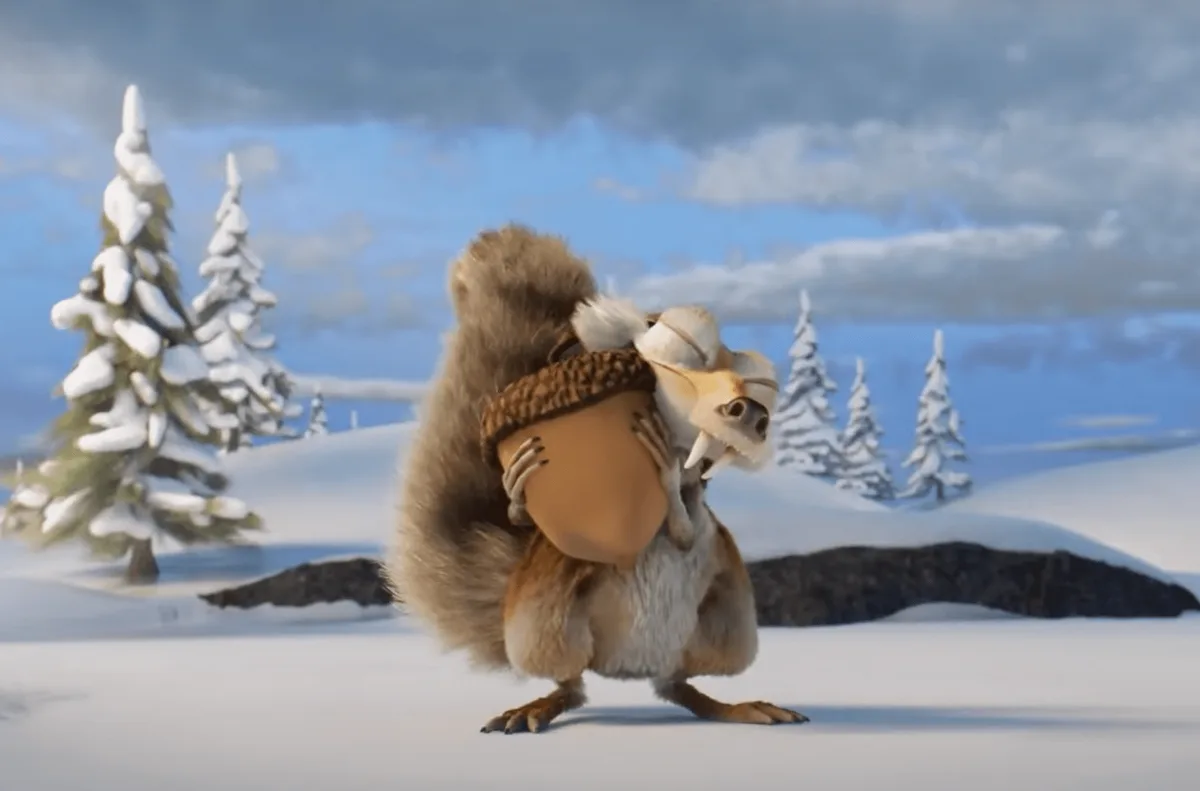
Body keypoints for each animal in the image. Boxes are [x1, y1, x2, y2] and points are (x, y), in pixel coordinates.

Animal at [386, 224, 807, 734]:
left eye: (762, 385)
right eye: (682, 344)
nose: (754, 416)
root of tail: (624, 669)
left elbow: (685, 528)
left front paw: (669, 475)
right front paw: (517, 492)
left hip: (722, 627)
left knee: (678, 686)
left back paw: (734, 706)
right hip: (547, 620)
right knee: (573, 684)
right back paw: (538, 706)